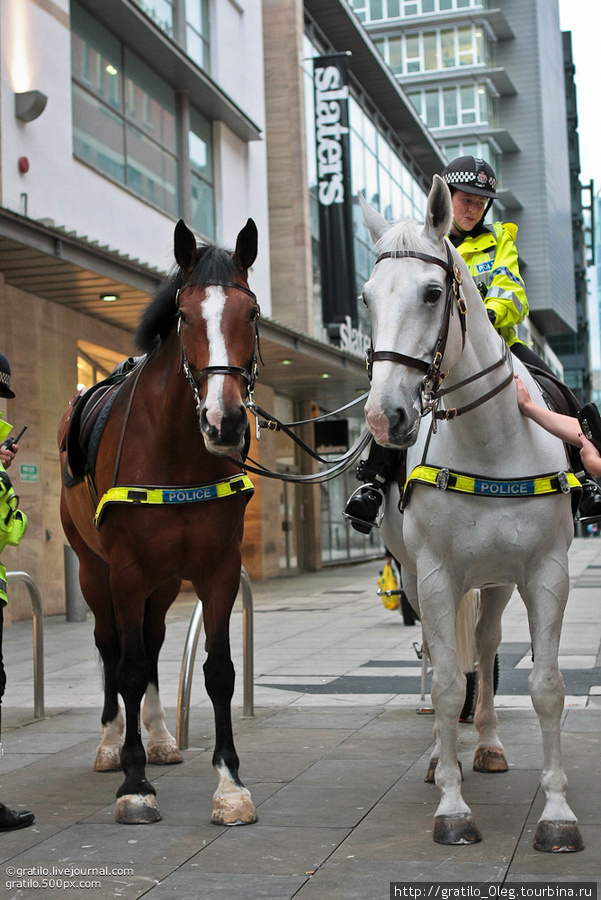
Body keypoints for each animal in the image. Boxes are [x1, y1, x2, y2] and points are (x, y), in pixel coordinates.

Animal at [58, 218, 260, 824]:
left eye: (251, 314)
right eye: (185, 316)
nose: (224, 421)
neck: (177, 450)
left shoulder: (218, 568)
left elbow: (218, 671)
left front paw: (229, 784)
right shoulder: (125, 570)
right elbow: (124, 666)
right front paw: (133, 782)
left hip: (165, 579)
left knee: (149, 641)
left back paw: (161, 737)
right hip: (94, 570)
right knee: (112, 646)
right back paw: (111, 745)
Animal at [360, 178, 580, 852]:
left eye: (433, 293)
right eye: (367, 298)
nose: (386, 418)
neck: (490, 441)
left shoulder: (545, 572)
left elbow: (546, 686)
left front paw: (557, 812)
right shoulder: (433, 574)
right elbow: (446, 682)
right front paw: (453, 805)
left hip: (497, 578)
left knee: (483, 646)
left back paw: (483, 744)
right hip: (420, 576)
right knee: (444, 658)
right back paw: (443, 759)